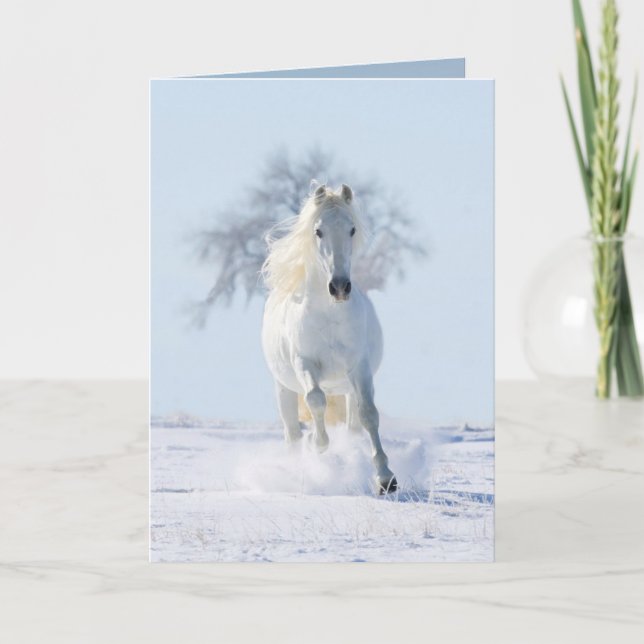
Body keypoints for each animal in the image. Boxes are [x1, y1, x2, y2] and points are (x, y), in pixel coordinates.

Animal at [261, 183, 397, 494]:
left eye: (352, 229)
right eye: (318, 231)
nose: (339, 287)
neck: (330, 315)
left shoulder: (359, 368)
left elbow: (369, 414)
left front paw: (386, 478)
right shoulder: (305, 363)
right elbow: (315, 400)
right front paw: (318, 444)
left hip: (346, 388)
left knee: (352, 425)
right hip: (283, 388)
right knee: (292, 432)